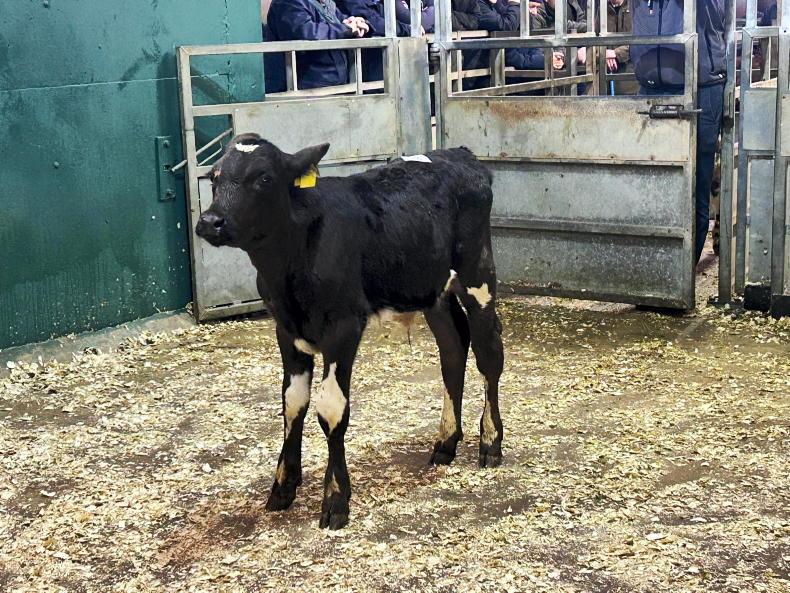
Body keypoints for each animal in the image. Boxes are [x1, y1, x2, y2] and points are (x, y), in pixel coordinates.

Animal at [195, 134, 504, 529]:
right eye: (215, 176)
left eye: (263, 177)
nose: (210, 221)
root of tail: (459, 154)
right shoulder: (286, 330)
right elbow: (292, 403)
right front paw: (282, 487)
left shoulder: (343, 327)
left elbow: (331, 410)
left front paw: (335, 499)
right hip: (431, 288)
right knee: (453, 348)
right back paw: (445, 443)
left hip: (477, 273)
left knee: (488, 353)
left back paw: (490, 443)